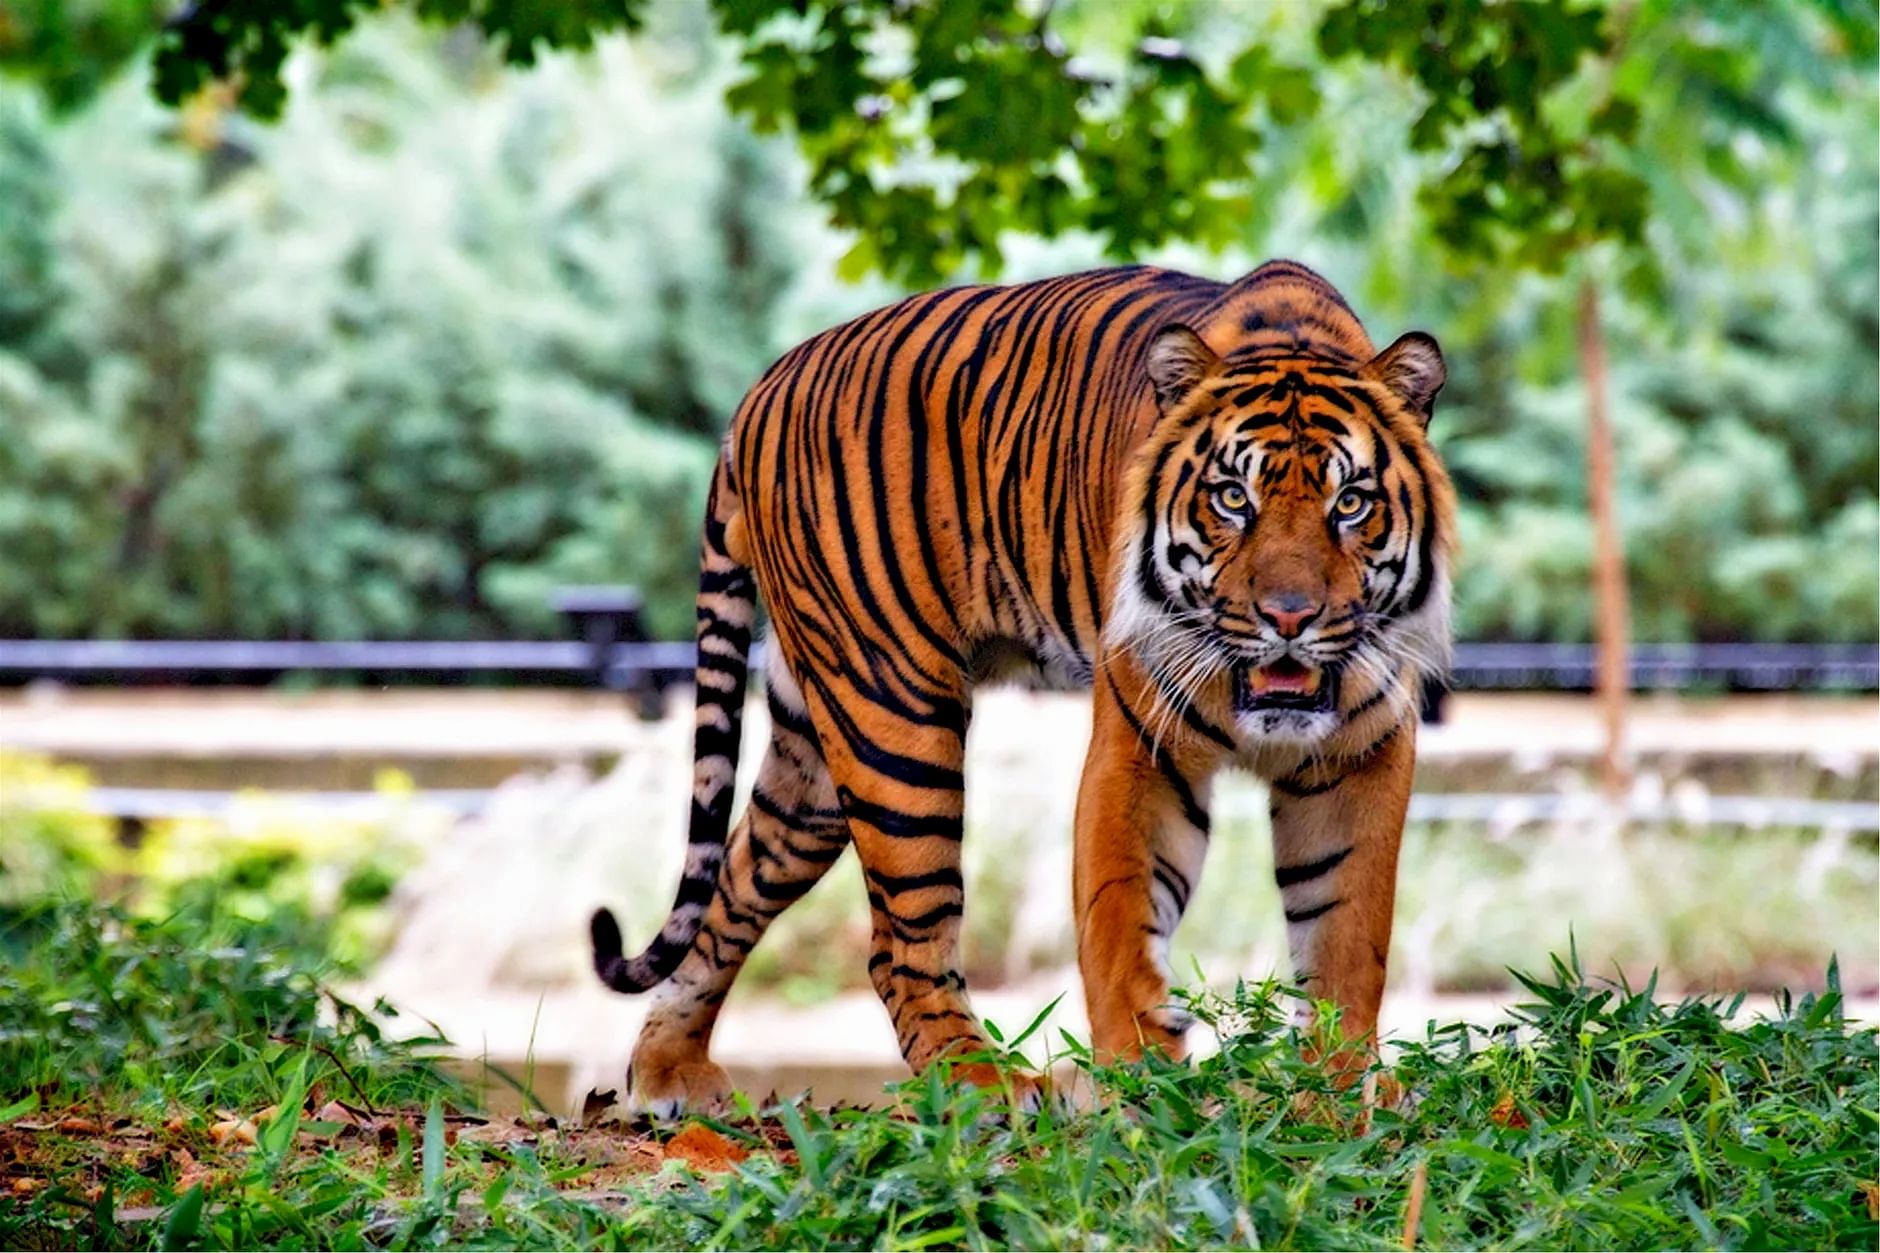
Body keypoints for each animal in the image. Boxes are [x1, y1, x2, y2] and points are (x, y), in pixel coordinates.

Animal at [586, 255, 1451, 1113]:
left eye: (1350, 503)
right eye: (1233, 498)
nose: (1289, 617)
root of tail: (761, 388)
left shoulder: (1362, 755)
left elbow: (1347, 932)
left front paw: (1337, 1086)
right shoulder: (1139, 747)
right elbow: (1122, 919)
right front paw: (1142, 1085)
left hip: (815, 759)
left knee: (734, 881)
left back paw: (668, 1069)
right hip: (894, 717)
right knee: (900, 941)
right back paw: (985, 1082)